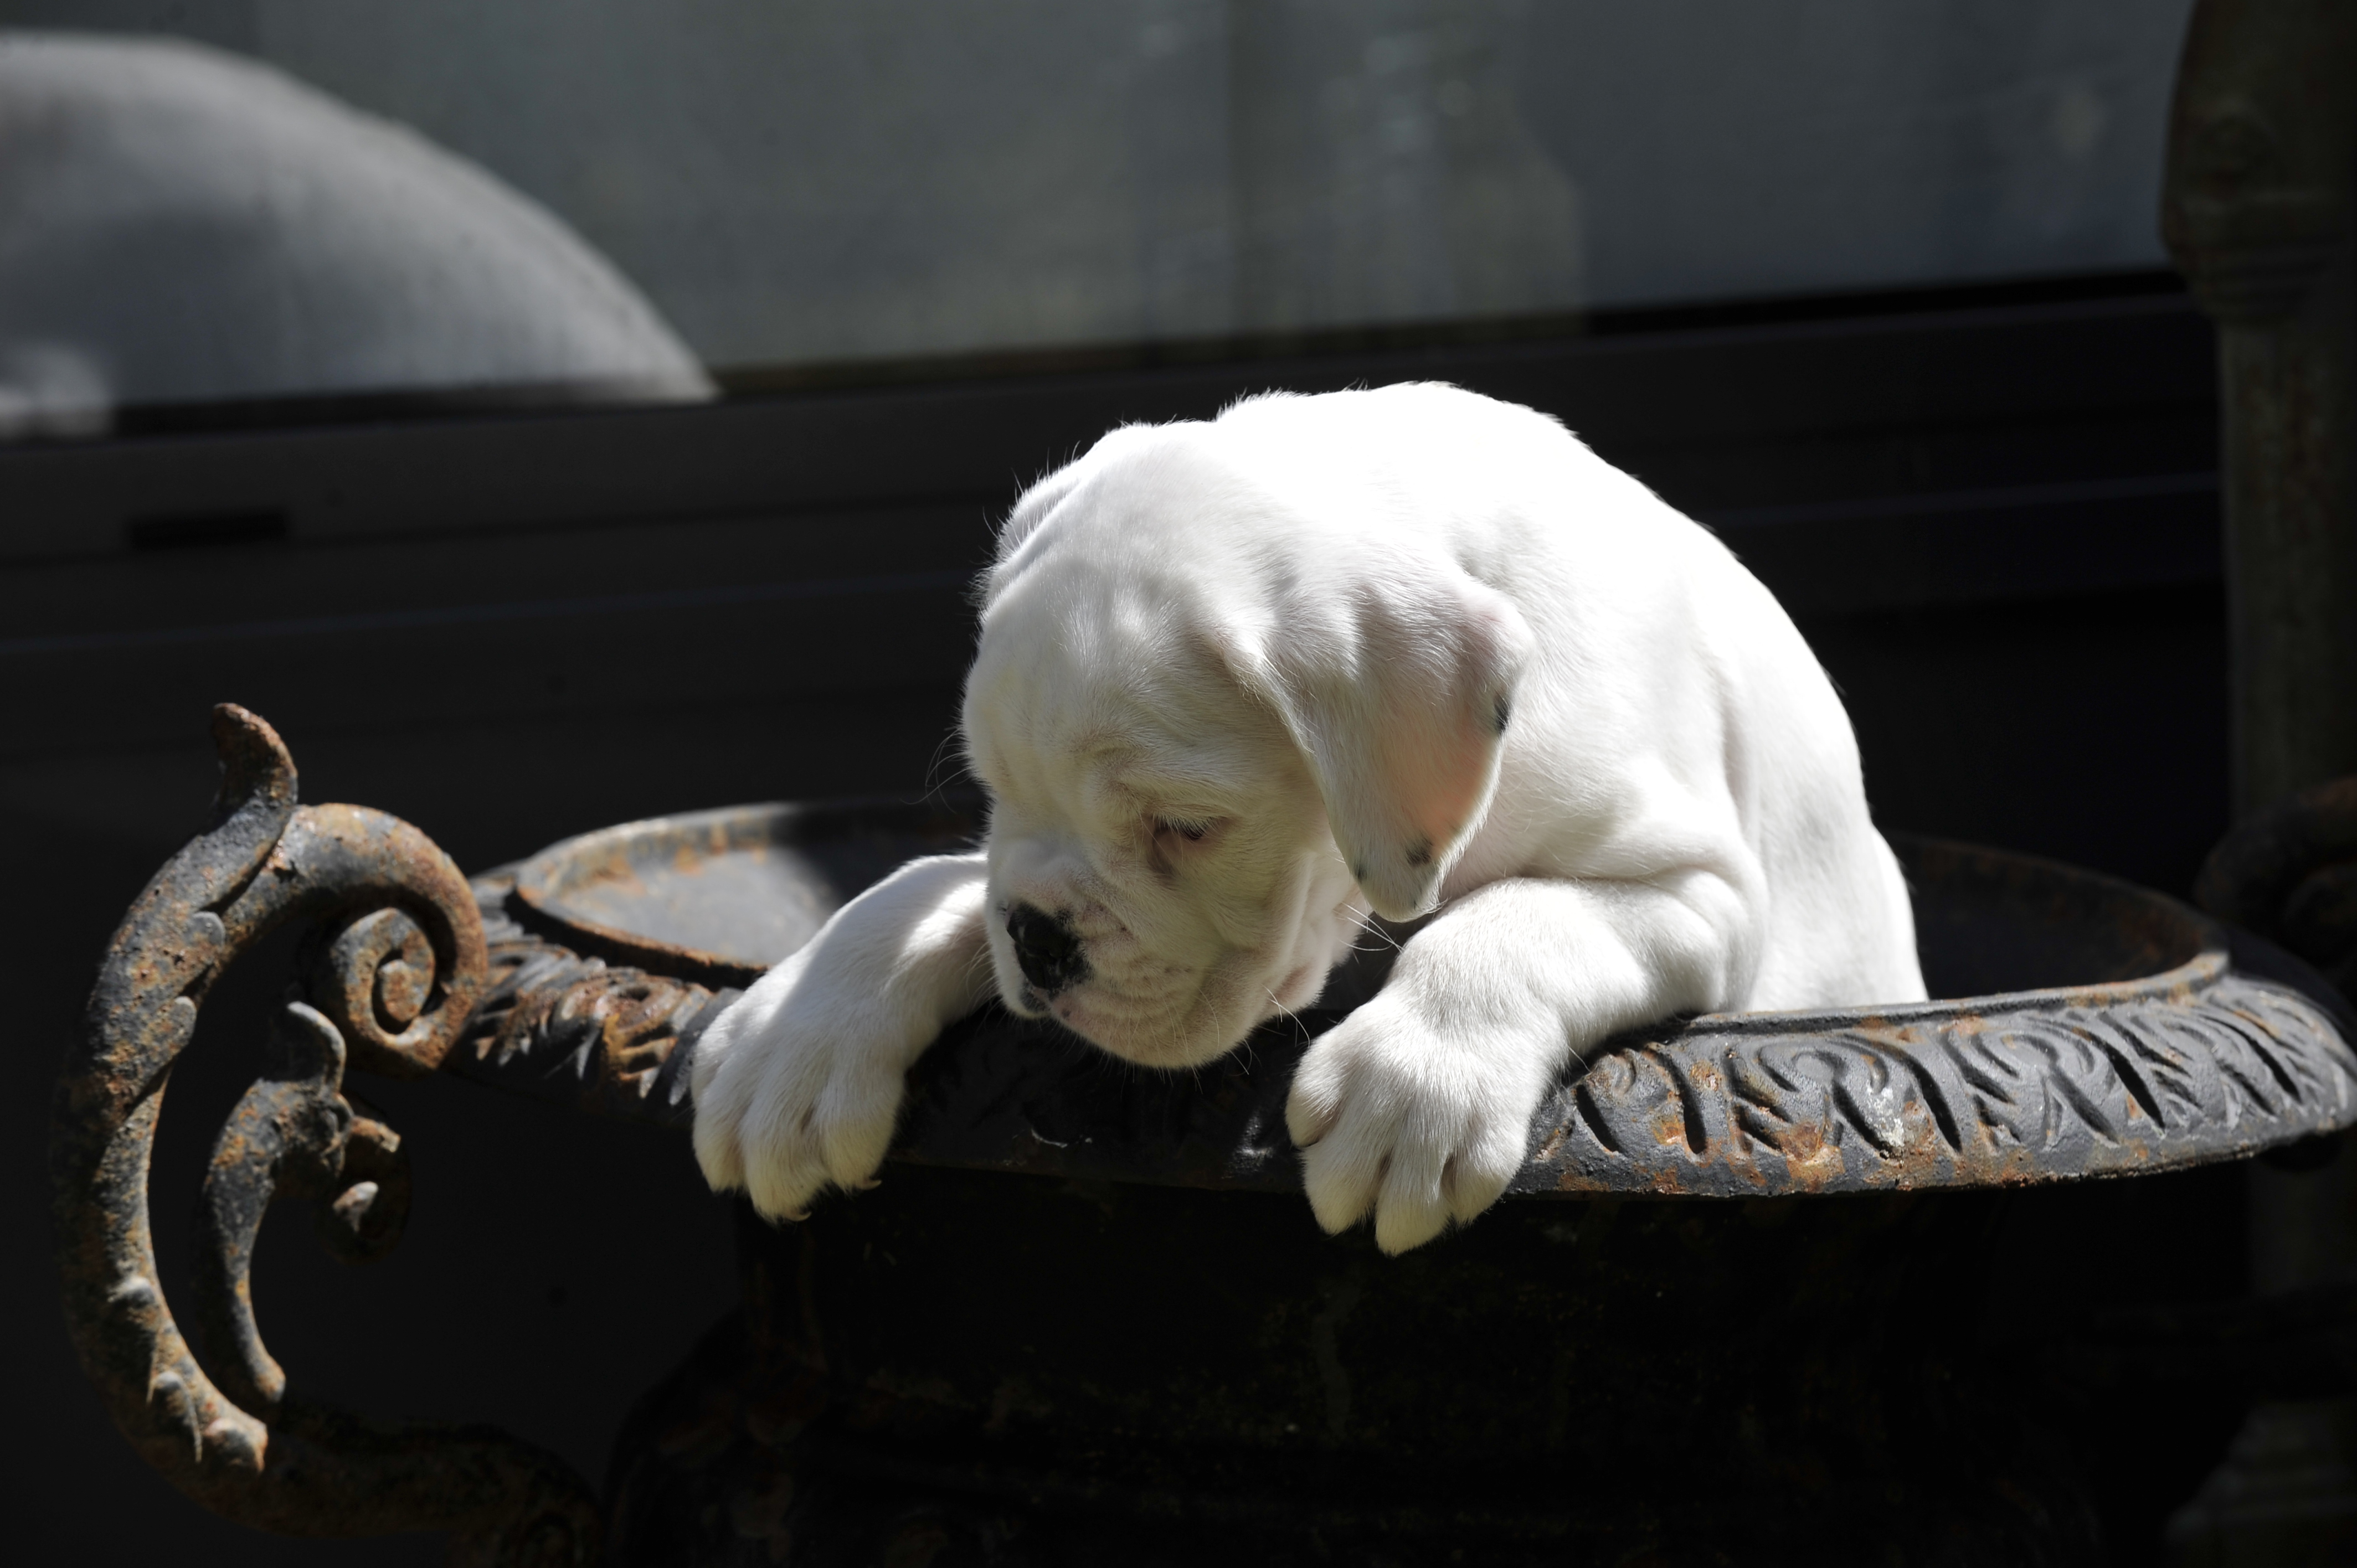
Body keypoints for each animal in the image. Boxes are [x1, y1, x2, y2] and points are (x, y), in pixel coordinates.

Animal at [688, 384, 1923, 1254]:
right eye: (993, 794)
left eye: (1187, 828)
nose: (1036, 941)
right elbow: (924, 888)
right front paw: (800, 1036)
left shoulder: (1696, 891)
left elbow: (1518, 921)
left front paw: (1412, 1088)